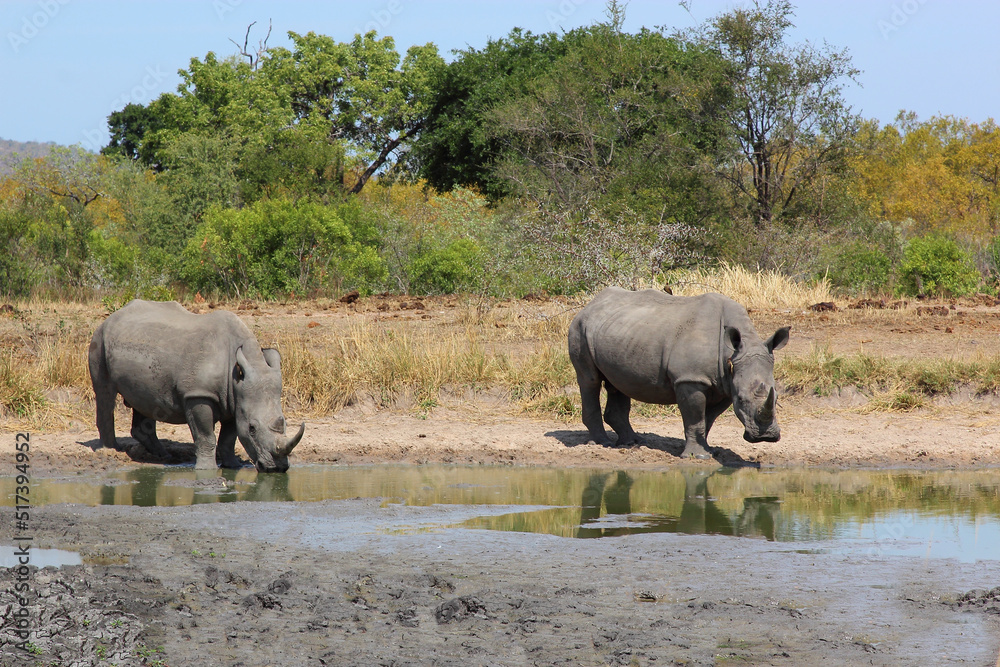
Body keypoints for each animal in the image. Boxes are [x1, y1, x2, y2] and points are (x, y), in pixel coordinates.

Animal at [88, 299, 304, 472]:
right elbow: (206, 435)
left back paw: (163, 456)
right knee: (105, 394)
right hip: (99, 340)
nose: (277, 468)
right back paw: (110, 450)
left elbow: (229, 438)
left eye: (284, 422)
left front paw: (233, 466)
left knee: (143, 399)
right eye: (252, 428)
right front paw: (207, 470)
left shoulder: (235, 400)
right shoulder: (198, 394)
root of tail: (112, 317)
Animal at [568, 287, 789, 460]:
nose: (765, 437)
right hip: (579, 327)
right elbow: (695, 418)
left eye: (777, 397)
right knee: (589, 381)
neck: (732, 354)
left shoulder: (725, 385)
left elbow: (707, 420)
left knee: (618, 383)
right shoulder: (690, 379)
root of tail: (590, 304)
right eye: (742, 399)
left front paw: (709, 451)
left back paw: (633, 443)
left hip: (617, 332)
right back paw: (602, 444)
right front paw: (697, 456)